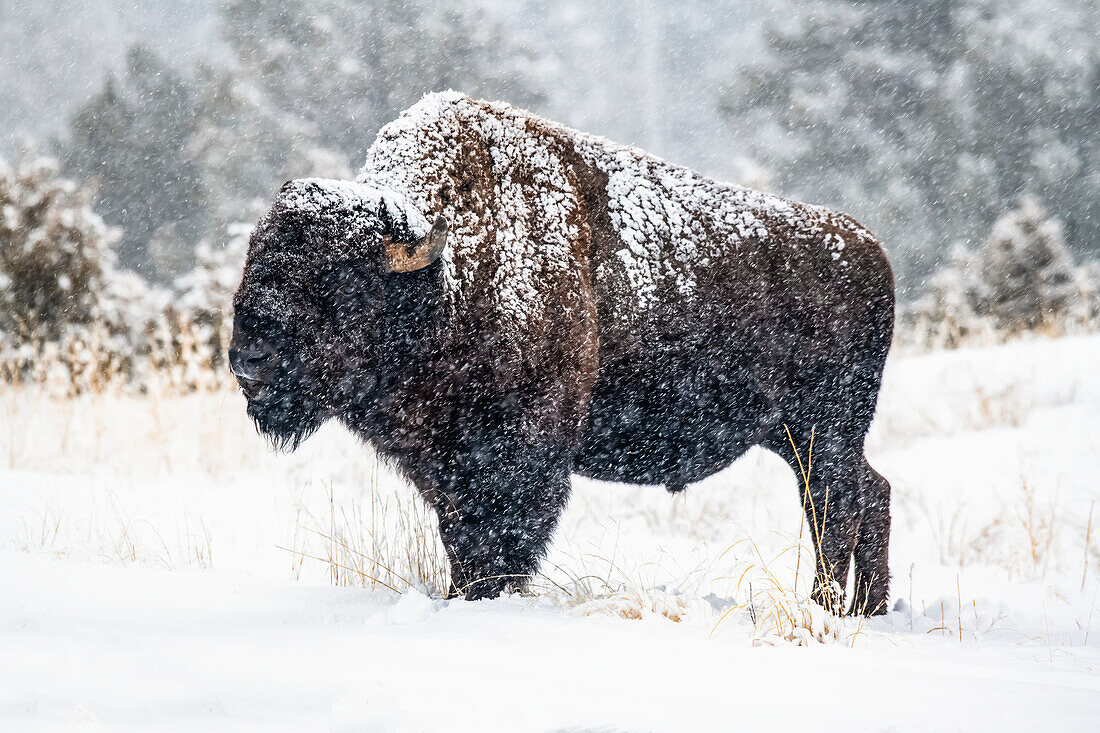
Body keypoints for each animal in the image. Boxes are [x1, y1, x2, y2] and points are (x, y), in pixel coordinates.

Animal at [229, 88, 893, 607]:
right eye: (254, 261)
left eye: (339, 278)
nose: (248, 356)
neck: (447, 273)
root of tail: (872, 251)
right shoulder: (443, 466)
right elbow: (461, 538)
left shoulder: (520, 449)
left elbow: (502, 538)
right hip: (794, 437)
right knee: (868, 495)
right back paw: (867, 608)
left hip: (823, 431)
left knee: (839, 507)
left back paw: (828, 607)